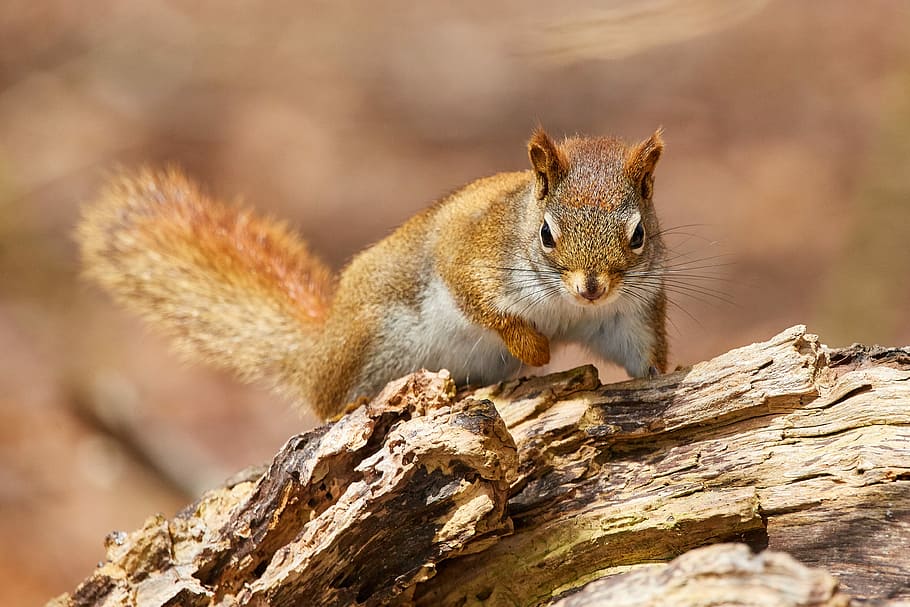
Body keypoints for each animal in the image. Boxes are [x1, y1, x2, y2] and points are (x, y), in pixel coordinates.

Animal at [77, 127, 668, 420]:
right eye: (547, 234)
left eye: (638, 234)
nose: (591, 288)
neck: (567, 307)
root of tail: (320, 351)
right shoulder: (470, 249)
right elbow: (479, 297)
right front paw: (534, 348)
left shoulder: (629, 312)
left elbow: (641, 350)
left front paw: (663, 375)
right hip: (373, 340)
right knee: (326, 405)